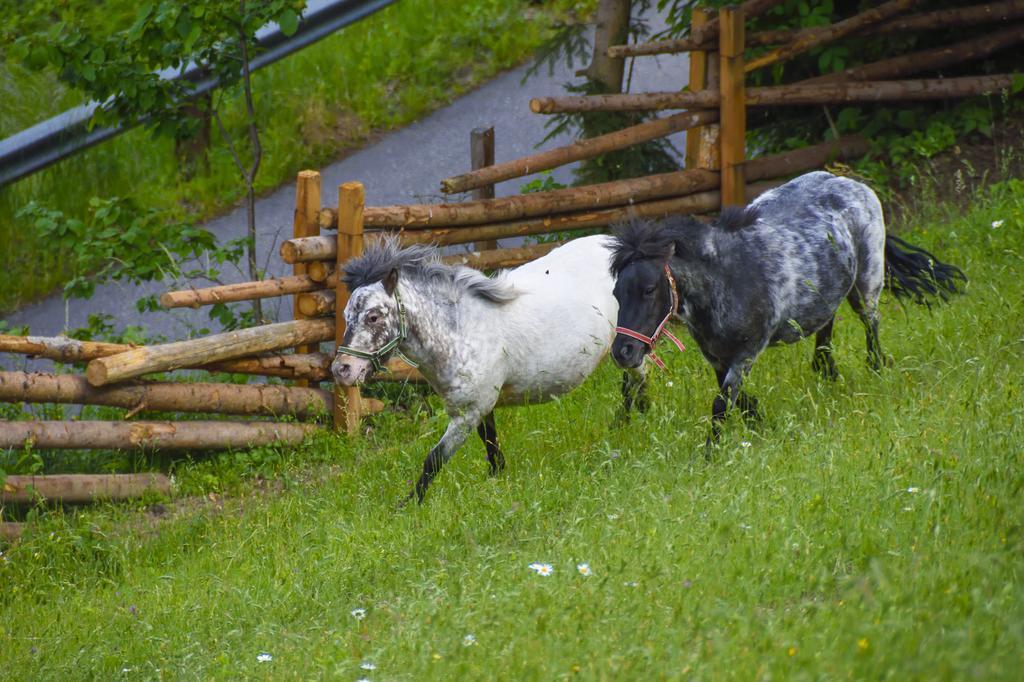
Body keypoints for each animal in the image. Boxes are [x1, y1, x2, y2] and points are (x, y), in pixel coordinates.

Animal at [331, 236, 643, 501]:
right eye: (346, 316)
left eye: (373, 316)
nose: (342, 369)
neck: (461, 330)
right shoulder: (481, 406)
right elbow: (491, 444)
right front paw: (496, 479)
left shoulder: (467, 413)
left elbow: (433, 459)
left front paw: (408, 505)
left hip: (631, 347)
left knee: (637, 379)